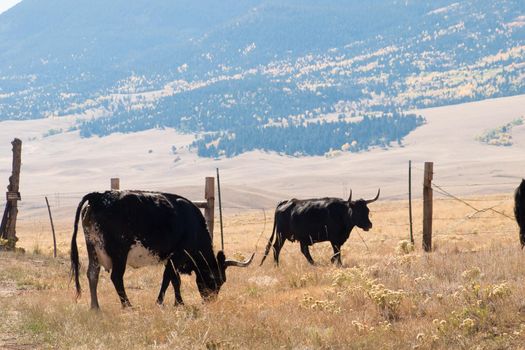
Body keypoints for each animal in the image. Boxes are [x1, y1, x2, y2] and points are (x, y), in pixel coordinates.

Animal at [71, 191, 254, 308]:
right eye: (216, 280)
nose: (210, 301)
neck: (193, 225)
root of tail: (99, 196)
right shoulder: (176, 256)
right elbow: (170, 279)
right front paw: (165, 302)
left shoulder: (169, 258)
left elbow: (172, 280)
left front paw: (177, 302)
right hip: (119, 254)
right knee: (116, 277)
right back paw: (127, 305)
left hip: (93, 249)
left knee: (92, 274)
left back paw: (95, 307)